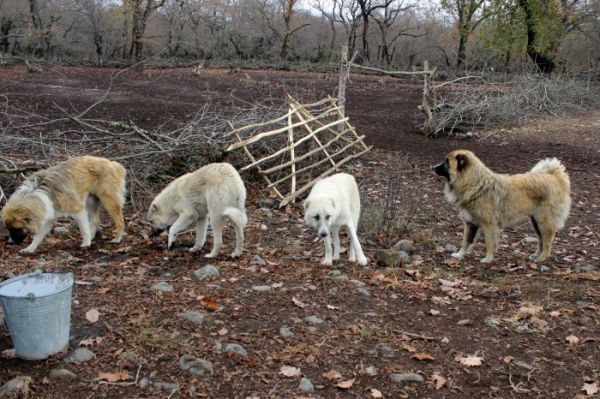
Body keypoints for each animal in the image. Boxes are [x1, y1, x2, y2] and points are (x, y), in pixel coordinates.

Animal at [434, 149, 568, 262]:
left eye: (446, 162)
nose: (432, 167)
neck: (475, 183)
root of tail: (554, 177)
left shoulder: (489, 226)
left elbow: (489, 243)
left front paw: (488, 259)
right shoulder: (470, 223)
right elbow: (466, 241)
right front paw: (460, 254)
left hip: (543, 222)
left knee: (548, 242)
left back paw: (542, 258)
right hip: (535, 222)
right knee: (541, 240)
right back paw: (536, 255)